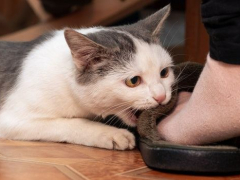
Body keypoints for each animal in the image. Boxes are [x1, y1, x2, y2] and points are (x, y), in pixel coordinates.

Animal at [0, 4, 173, 150]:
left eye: (164, 73)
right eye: (133, 81)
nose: (161, 96)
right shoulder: (10, 119)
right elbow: (71, 122)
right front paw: (112, 133)